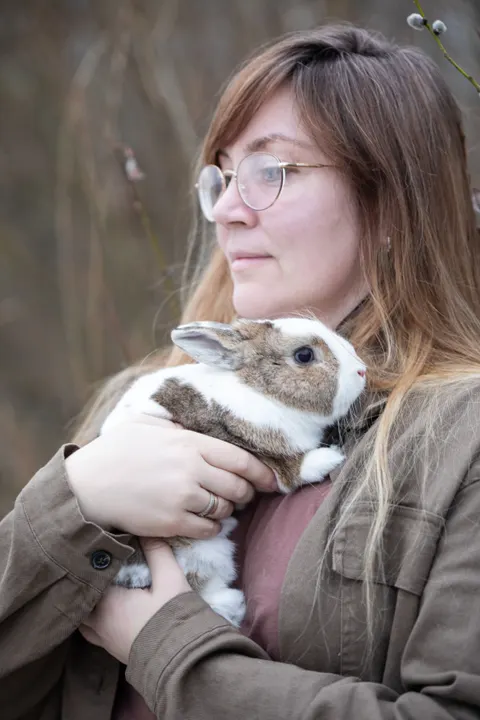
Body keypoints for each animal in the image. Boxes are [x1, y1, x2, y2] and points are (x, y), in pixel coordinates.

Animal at [100, 316, 367, 627]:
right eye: (304, 355)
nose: (362, 370)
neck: (257, 390)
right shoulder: (262, 449)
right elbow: (292, 471)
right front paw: (330, 457)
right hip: (199, 551)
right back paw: (231, 605)